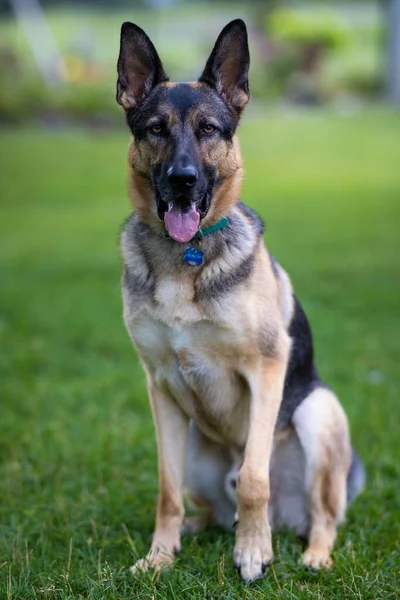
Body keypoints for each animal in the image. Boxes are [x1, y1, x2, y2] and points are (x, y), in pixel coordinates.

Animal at [116, 19, 366, 580]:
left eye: (209, 129)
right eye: (155, 129)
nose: (182, 182)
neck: (184, 256)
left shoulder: (266, 369)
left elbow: (254, 477)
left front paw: (253, 552)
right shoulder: (159, 387)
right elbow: (166, 489)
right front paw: (158, 554)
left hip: (318, 411)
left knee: (321, 514)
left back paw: (313, 553)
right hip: (194, 443)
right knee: (207, 508)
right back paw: (190, 532)